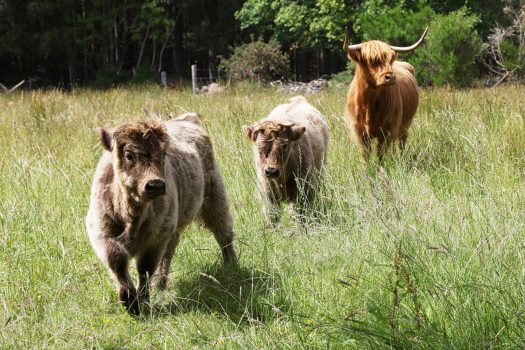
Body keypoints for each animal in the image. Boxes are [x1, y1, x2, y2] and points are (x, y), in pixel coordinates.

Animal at [85, 113, 235, 316]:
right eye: (129, 155)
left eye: (163, 154)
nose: (155, 185)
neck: (133, 214)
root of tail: (188, 119)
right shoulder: (102, 233)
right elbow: (117, 260)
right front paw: (129, 301)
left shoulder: (156, 238)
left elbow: (145, 268)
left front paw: (142, 301)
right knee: (170, 250)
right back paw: (160, 284)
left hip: (215, 200)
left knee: (223, 232)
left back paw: (231, 264)